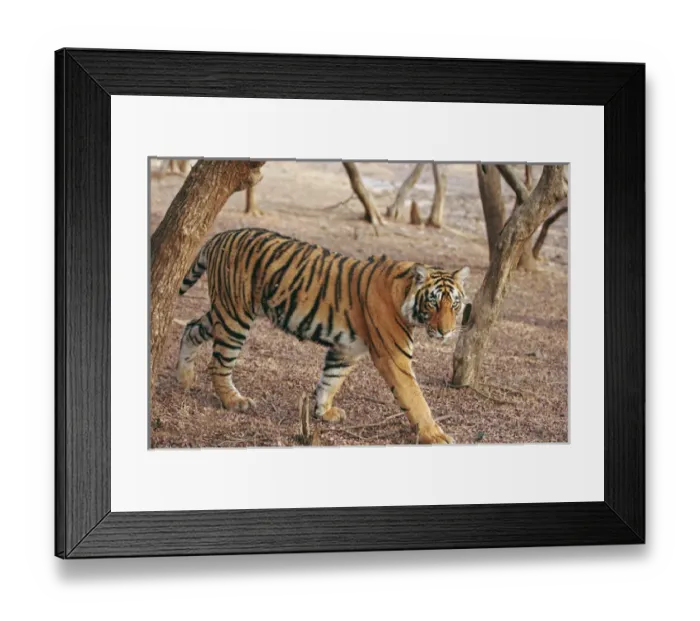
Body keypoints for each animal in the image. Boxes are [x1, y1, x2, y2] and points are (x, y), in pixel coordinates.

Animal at [176, 228, 471, 445]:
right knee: (219, 363)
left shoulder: (347, 348)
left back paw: (186, 378)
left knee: (190, 328)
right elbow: (415, 398)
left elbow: (331, 379)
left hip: (224, 311)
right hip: (235, 316)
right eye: (433, 303)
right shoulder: (394, 357)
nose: (445, 331)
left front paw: (324, 411)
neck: (404, 295)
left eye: (454, 305)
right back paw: (234, 401)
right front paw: (435, 435)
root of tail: (220, 236)